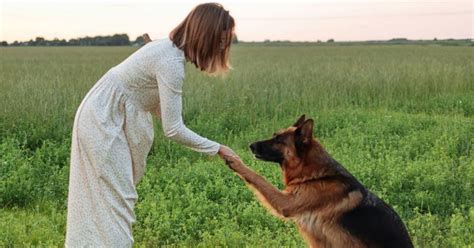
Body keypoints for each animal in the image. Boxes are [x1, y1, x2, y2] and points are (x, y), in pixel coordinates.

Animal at [224, 115, 412, 247]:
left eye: (278, 140)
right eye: (274, 136)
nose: (250, 145)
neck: (315, 175)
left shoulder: (287, 202)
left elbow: (258, 177)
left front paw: (235, 161)